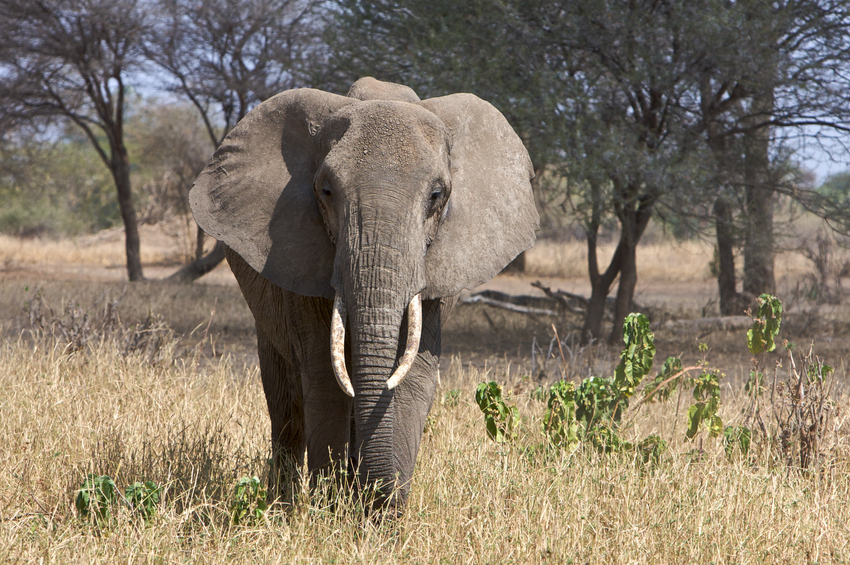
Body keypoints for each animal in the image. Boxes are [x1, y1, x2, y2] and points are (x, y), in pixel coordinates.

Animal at [190, 77, 536, 512]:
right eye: (326, 191)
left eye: (437, 195)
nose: (373, 500)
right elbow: (325, 376)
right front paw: (332, 513)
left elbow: (412, 377)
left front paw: (381, 520)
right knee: (287, 408)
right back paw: (283, 508)